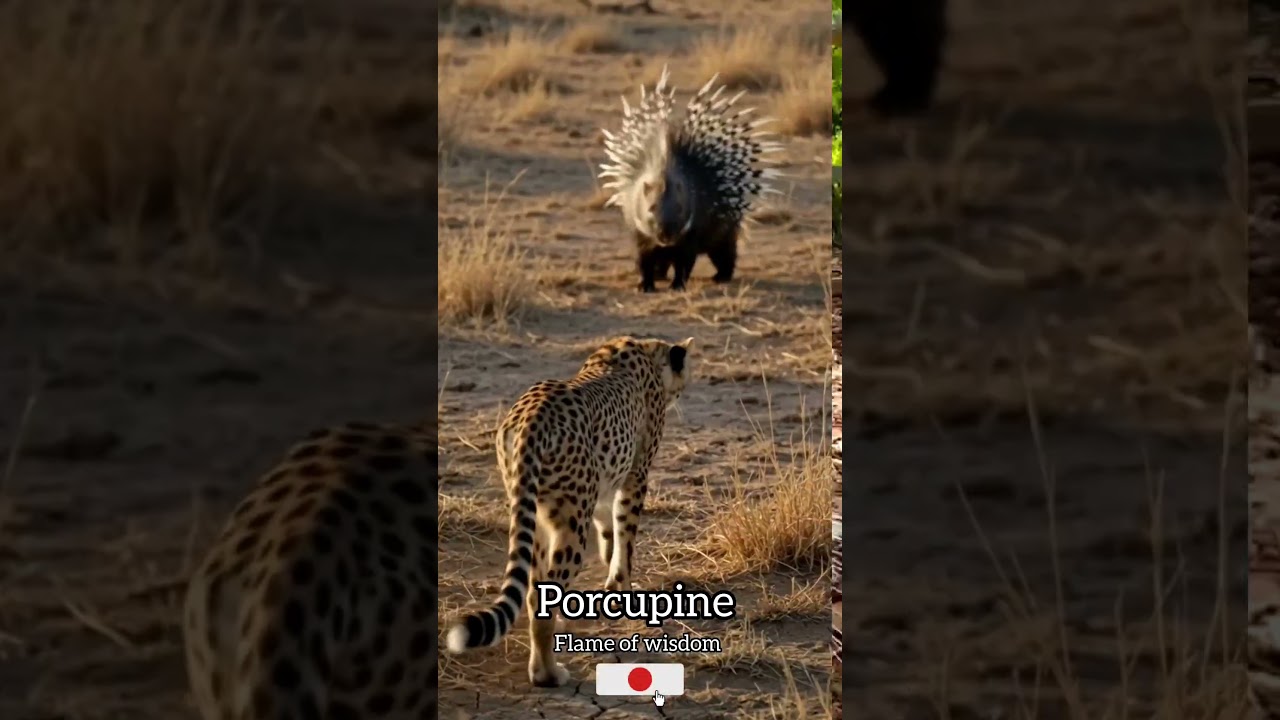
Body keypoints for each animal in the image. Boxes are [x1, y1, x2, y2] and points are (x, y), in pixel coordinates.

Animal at [444, 335, 694, 688]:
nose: (683, 390)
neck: (645, 351)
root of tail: (531, 416)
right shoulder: (635, 476)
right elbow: (626, 540)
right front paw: (622, 588)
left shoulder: (603, 480)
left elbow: (609, 525)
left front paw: (609, 561)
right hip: (570, 523)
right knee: (546, 598)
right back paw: (548, 674)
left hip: (535, 514)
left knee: (535, 591)